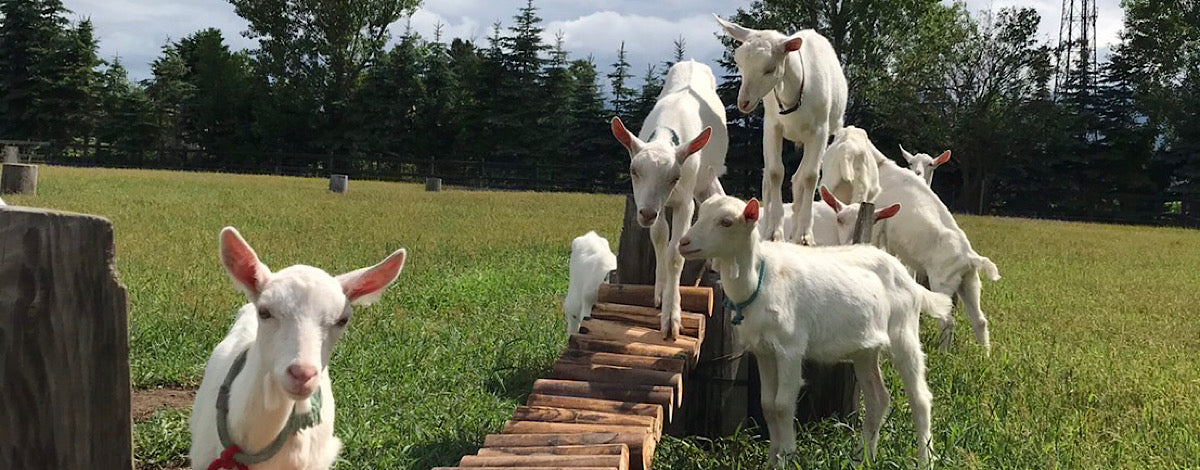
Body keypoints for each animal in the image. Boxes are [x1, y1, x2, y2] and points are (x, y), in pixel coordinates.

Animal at [614, 58, 724, 340]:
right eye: (634, 170)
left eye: (675, 177)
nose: (645, 214)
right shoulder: (655, 204)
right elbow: (659, 236)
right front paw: (660, 292)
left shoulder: (684, 201)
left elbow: (676, 252)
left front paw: (671, 319)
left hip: (706, 176)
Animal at [676, 194, 945, 465]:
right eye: (700, 214)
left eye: (726, 222)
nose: (684, 243)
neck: (759, 281)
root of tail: (907, 277)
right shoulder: (763, 350)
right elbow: (768, 405)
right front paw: (772, 460)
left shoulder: (790, 347)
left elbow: (783, 405)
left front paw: (786, 456)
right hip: (866, 348)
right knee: (877, 399)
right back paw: (862, 458)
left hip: (904, 331)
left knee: (920, 398)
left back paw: (926, 459)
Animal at [715, 14, 849, 244]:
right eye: (739, 62)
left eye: (769, 68)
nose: (743, 102)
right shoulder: (772, 126)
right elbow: (776, 173)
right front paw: (773, 232)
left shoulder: (819, 131)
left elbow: (810, 176)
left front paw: (804, 235)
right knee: (768, 178)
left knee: (800, 177)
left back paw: (796, 230)